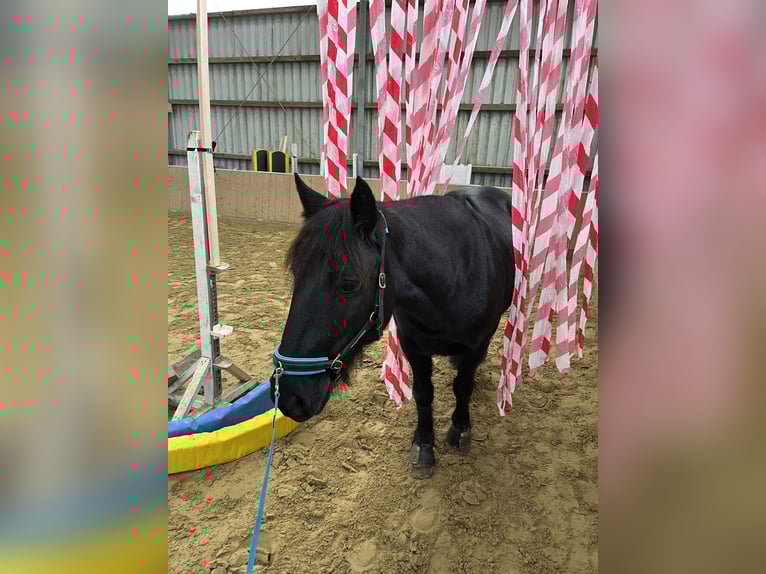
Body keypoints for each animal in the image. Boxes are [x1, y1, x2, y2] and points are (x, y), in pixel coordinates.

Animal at [270, 173, 516, 478]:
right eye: (296, 274)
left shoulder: (476, 344)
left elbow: (462, 387)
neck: (455, 277)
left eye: (349, 284)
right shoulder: (414, 347)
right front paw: (424, 444)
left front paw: (460, 429)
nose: (290, 395)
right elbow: (424, 393)